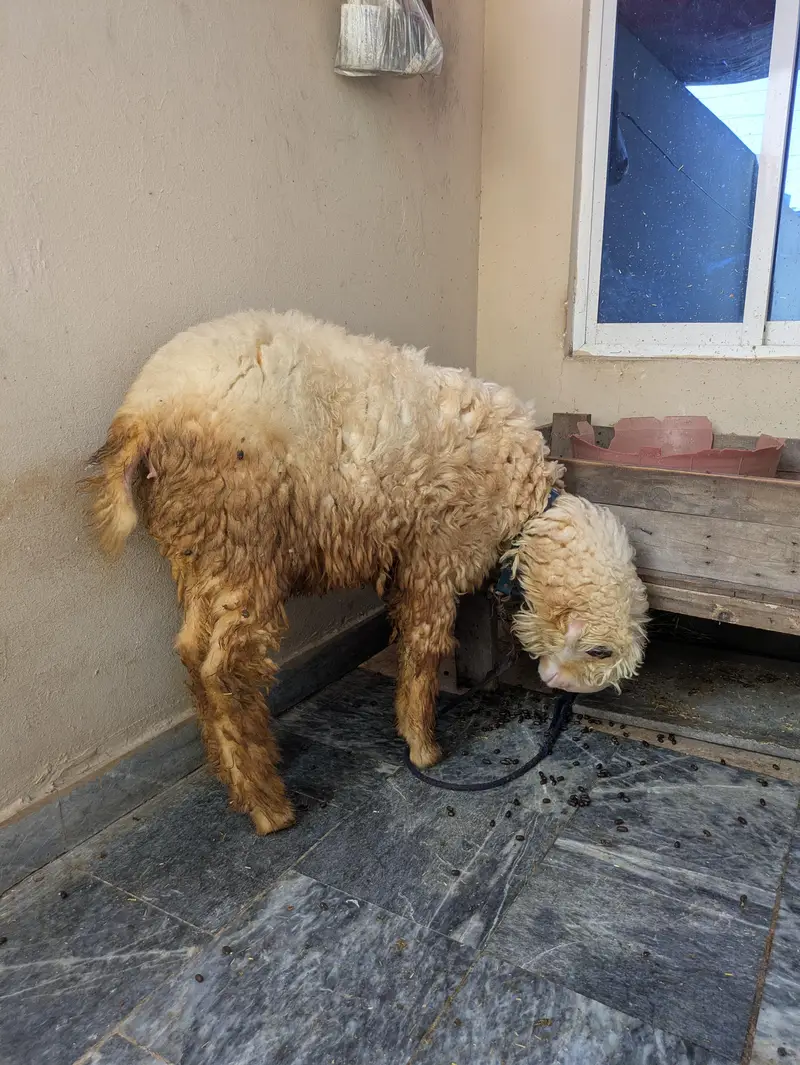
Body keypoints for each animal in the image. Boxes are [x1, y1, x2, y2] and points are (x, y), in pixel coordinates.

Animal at [85, 310, 648, 835]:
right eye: (600, 651)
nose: (558, 686)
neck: (526, 504)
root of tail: (144, 412)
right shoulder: (436, 553)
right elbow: (424, 648)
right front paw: (423, 745)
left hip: (201, 546)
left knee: (191, 655)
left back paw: (235, 780)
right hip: (243, 537)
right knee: (225, 670)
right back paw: (269, 806)